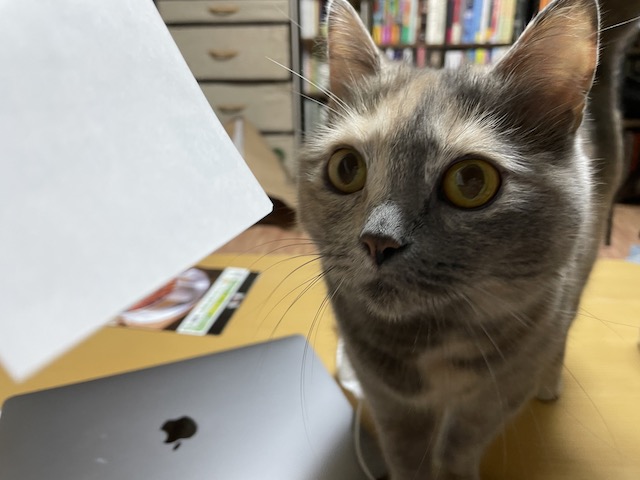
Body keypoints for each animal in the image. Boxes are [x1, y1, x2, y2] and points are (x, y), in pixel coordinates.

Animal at [297, 0, 635, 479]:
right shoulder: (387, 397)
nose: (377, 240)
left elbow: (460, 444)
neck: (432, 340)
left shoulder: (497, 393)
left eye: (471, 181)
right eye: (346, 168)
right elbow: (406, 453)